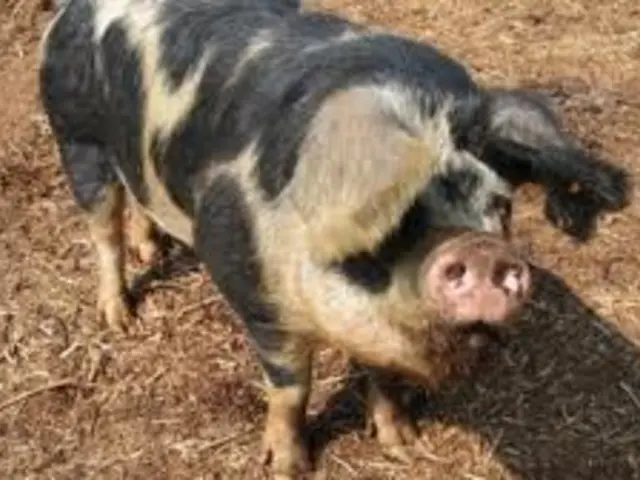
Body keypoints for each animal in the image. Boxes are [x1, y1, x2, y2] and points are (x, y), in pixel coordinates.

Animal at [38, 0, 630, 477]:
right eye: (396, 216)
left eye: (501, 205)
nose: (479, 248)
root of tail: (72, 13)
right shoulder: (254, 291)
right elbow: (291, 387)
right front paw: (287, 466)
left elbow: (383, 374)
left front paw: (402, 443)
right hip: (76, 137)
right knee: (103, 227)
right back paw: (121, 319)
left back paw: (152, 250)